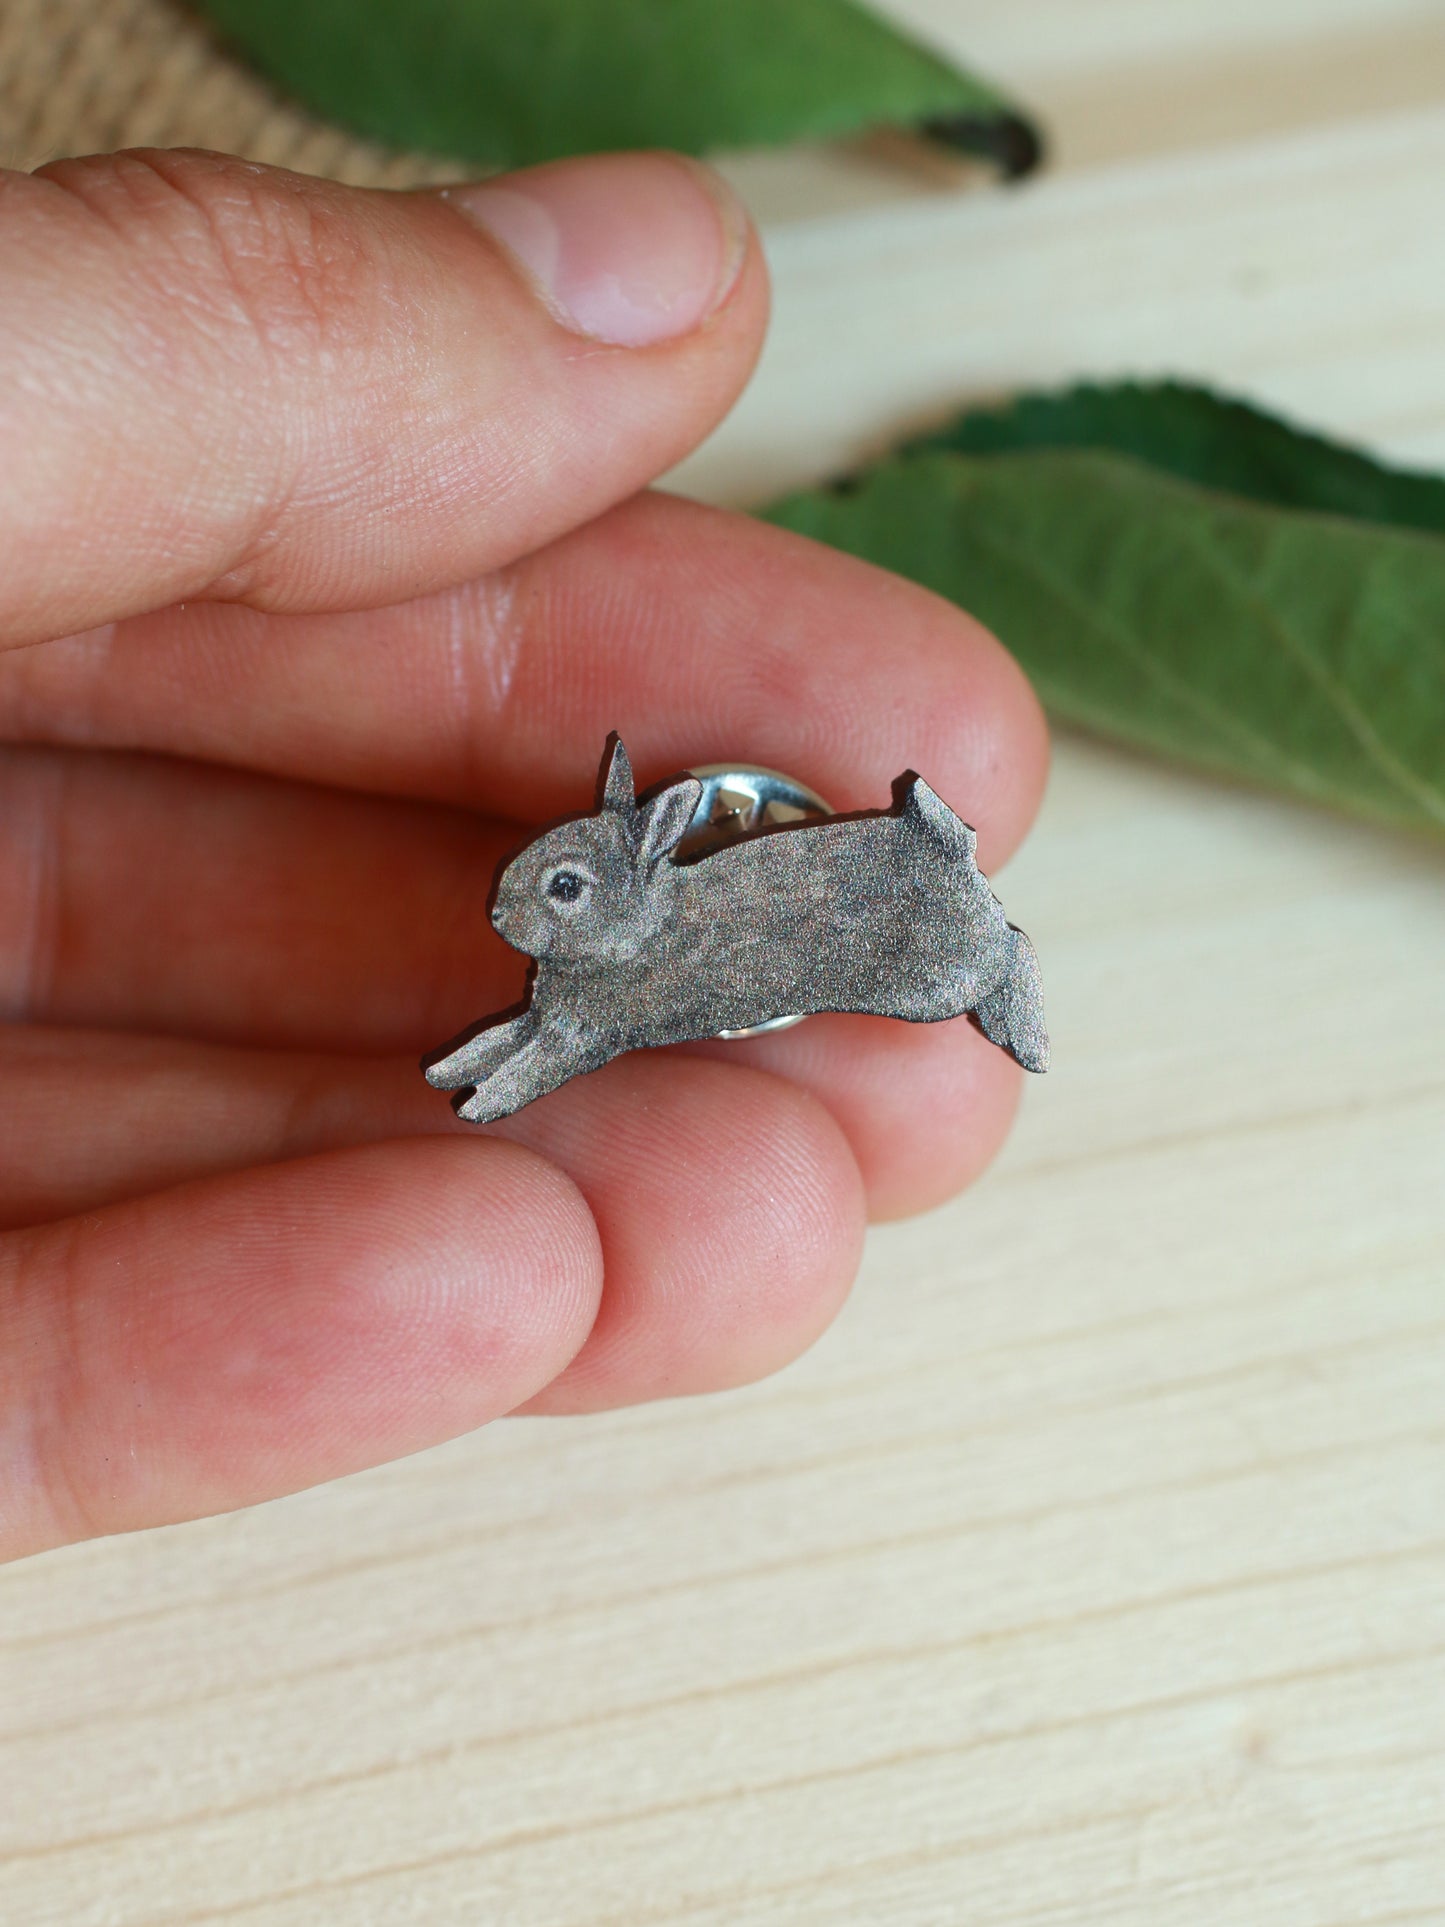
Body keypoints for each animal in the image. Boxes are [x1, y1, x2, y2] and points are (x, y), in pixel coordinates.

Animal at [424, 735, 1048, 1123]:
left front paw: (478, 1105)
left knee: (1016, 950)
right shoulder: (539, 1018)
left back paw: (1029, 1045)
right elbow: (492, 1040)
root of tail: (955, 852)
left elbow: (525, 1070)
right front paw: (441, 1073)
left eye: (566, 886)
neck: (636, 928)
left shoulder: (574, 1038)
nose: (495, 914)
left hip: (936, 983)